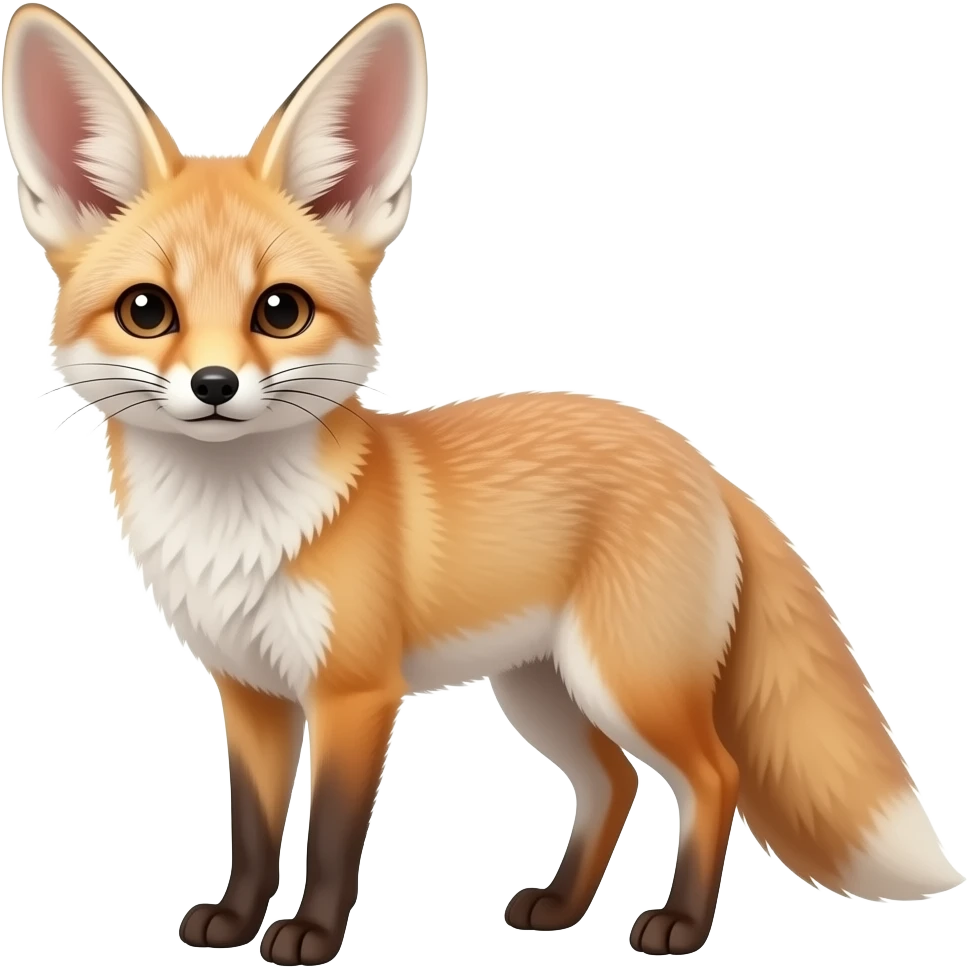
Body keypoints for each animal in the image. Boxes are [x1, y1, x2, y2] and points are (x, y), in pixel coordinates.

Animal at [4, 2, 965, 965]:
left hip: (626, 680)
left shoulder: (356, 693)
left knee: (711, 774)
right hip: (542, 689)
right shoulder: (250, 693)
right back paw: (562, 906)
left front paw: (311, 932)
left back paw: (681, 925)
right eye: (147, 310)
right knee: (612, 783)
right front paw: (235, 922)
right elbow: (253, 827)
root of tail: (693, 456)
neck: (237, 534)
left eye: (279, 310)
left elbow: (333, 834)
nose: (213, 385)